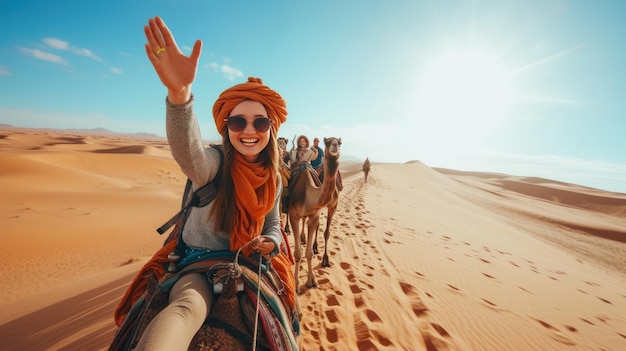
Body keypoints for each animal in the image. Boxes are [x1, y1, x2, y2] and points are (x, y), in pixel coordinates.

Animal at [288, 138, 342, 294]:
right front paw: (296, 285)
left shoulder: (315, 215)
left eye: (339, 143)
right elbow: (298, 253)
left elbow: (309, 253)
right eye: (328, 141)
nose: (335, 146)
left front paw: (312, 280)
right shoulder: (294, 216)